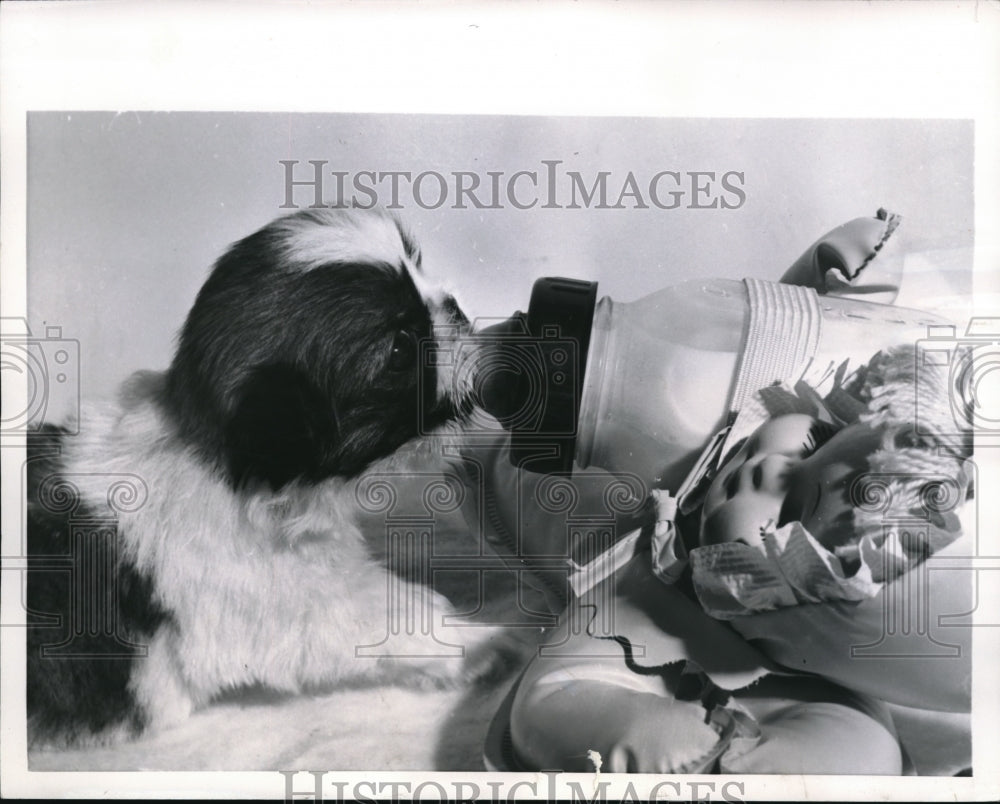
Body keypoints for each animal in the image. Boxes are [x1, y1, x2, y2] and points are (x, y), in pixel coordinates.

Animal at [27, 204, 488, 744]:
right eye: (399, 349)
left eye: (417, 264)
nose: (454, 307)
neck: (221, 464)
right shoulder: (287, 606)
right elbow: (381, 616)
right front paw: (484, 643)